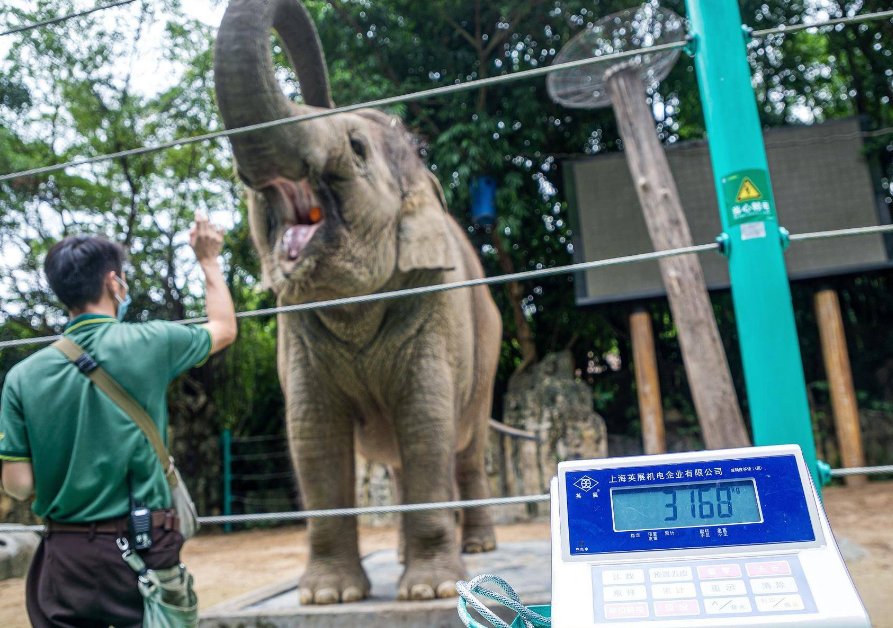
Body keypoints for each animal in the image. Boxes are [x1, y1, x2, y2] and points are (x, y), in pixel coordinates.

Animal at [213, 0, 502, 605]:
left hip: (488, 357)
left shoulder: (436, 306)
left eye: (357, 149)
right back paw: (404, 556)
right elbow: (312, 432)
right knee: (398, 466)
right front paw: (327, 597)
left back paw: (478, 549)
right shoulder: (295, 332)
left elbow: (425, 420)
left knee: (465, 449)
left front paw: (432, 591)